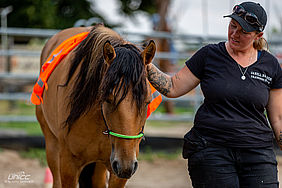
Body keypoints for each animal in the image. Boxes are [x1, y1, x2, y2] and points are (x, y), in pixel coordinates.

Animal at [33, 24, 156, 187]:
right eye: (108, 99)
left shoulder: (117, 174)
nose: (126, 165)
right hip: (52, 147)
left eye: (147, 101)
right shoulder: (68, 165)